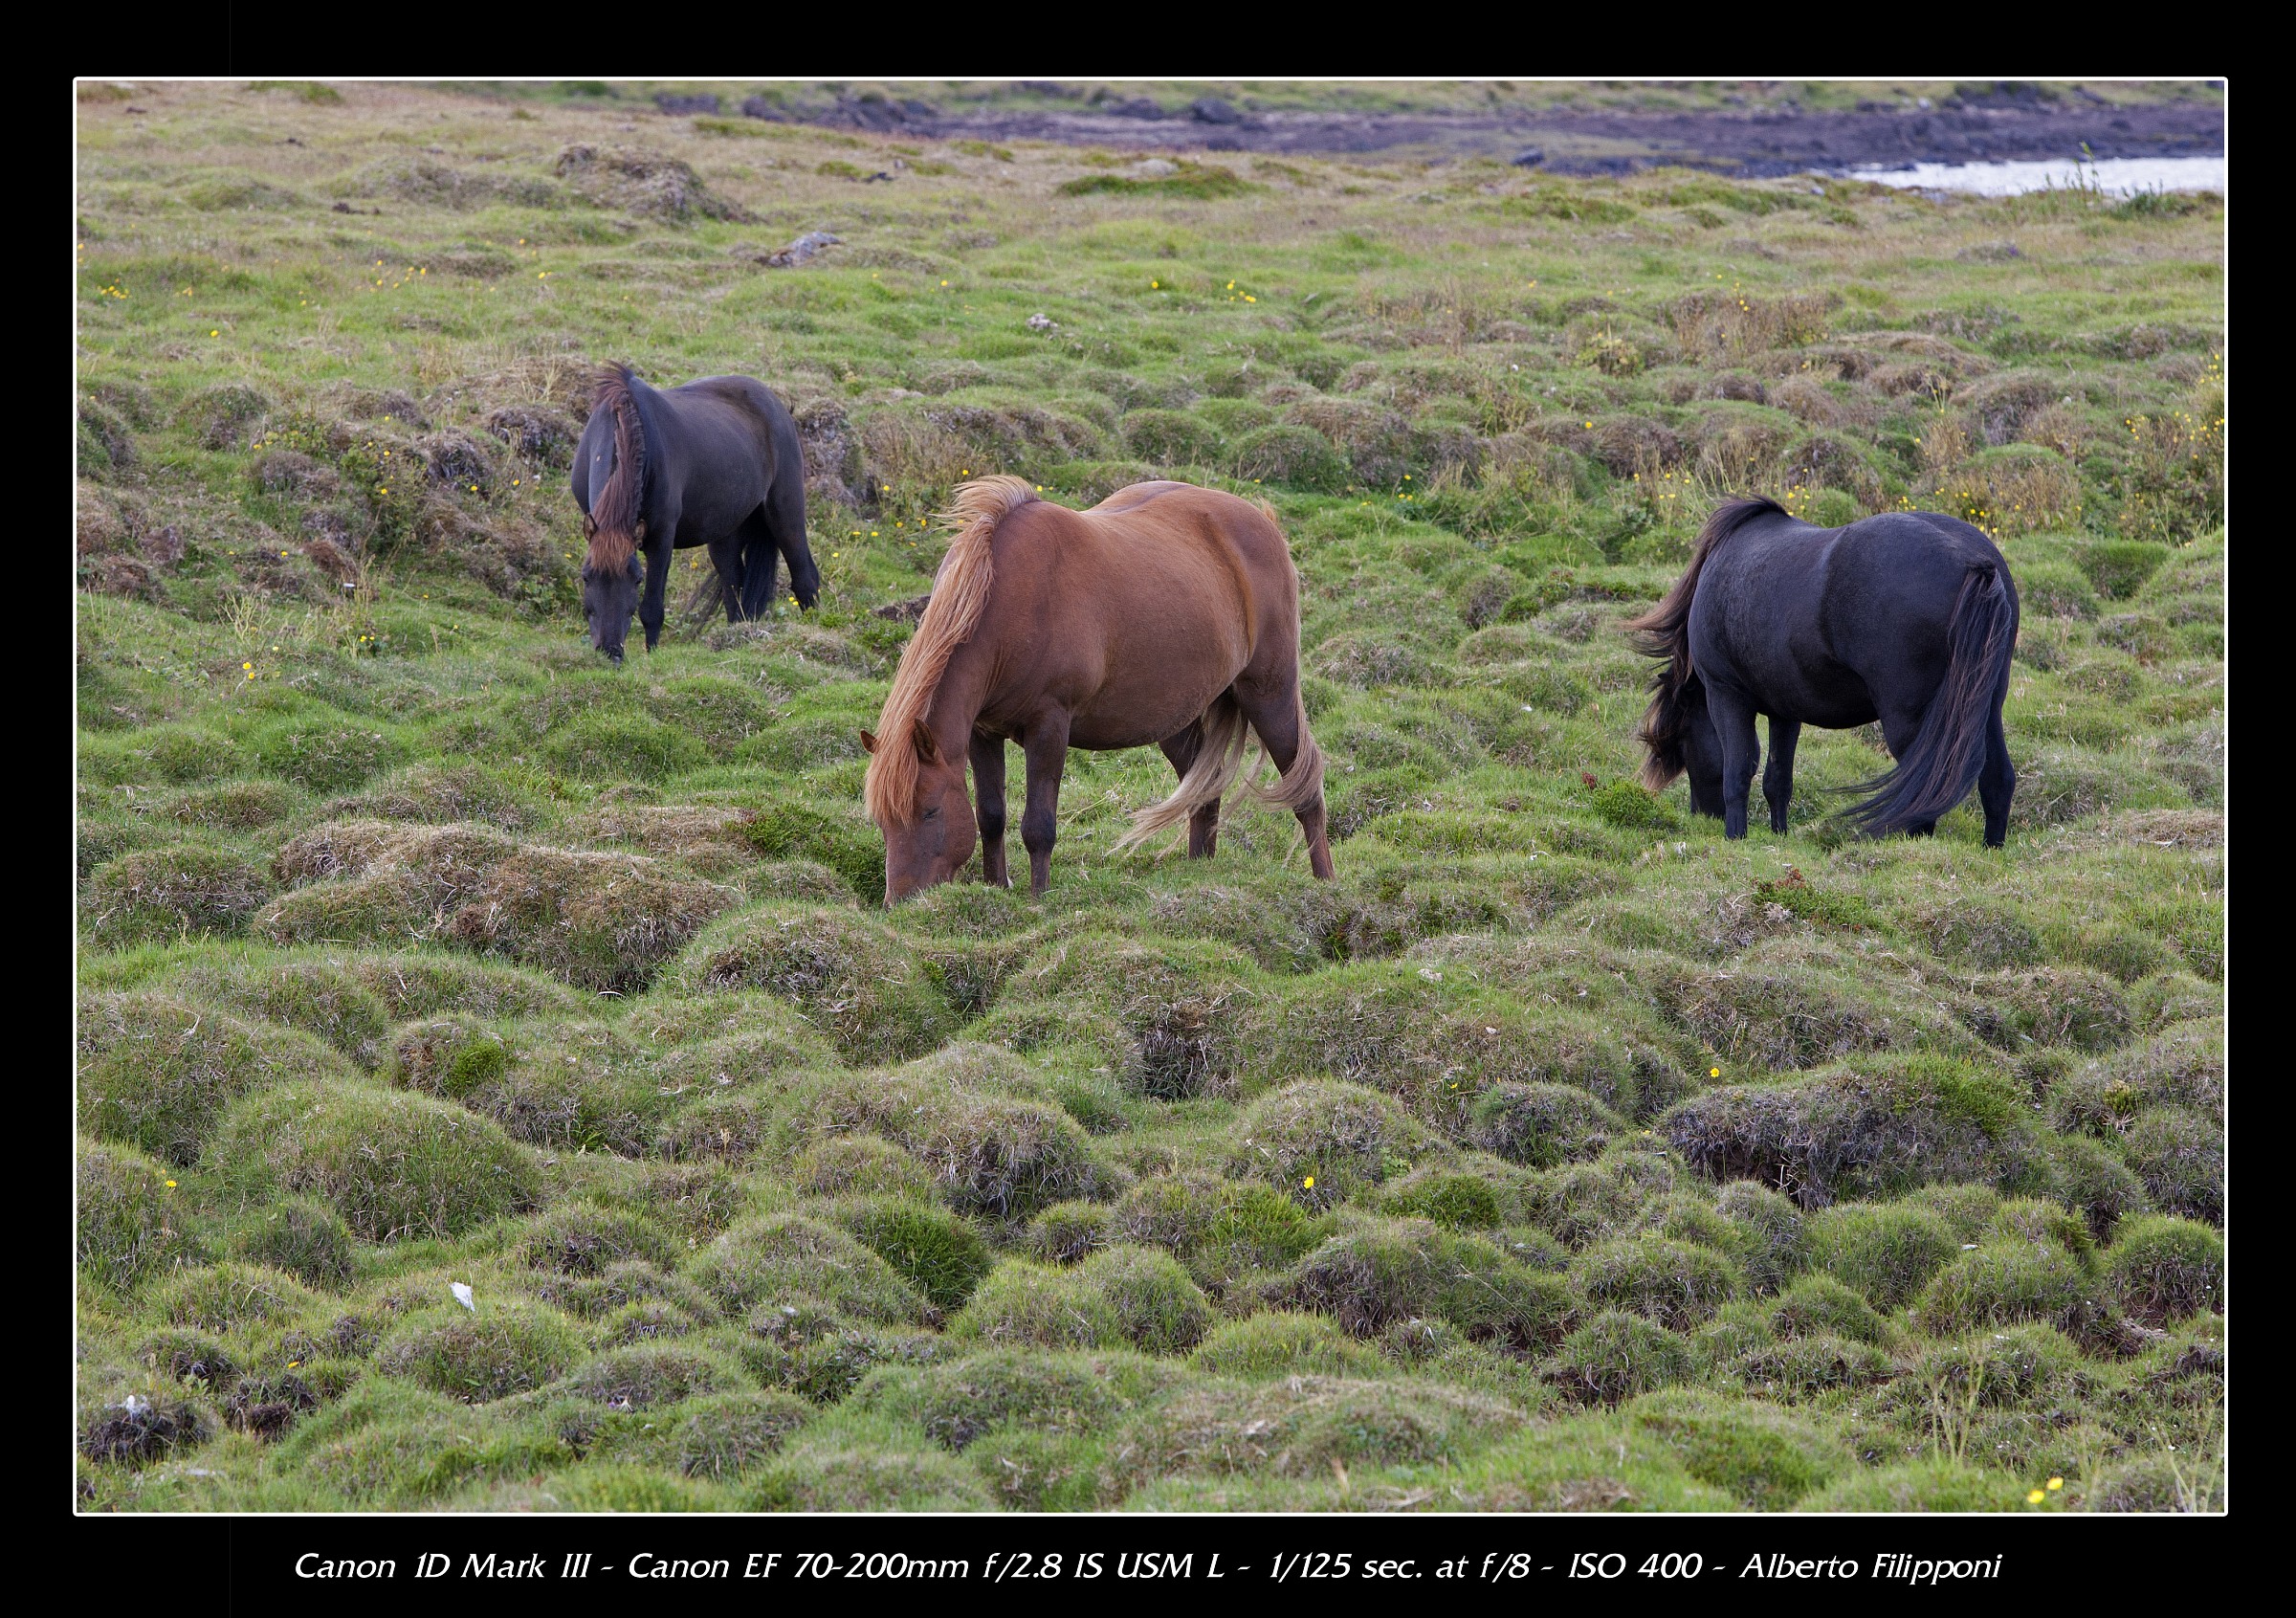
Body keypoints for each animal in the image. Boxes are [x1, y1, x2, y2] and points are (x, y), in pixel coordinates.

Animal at [570, 364, 821, 664]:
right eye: (586, 577)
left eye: (637, 579)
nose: (611, 652)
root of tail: (779, 408)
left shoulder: (661, 539)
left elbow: (651, 609)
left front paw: (652, 655)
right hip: (726, 534)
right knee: (734, 587)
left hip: (785, 513)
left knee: (805, 578)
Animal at [859, 477, 1335, 903]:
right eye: (881, 820)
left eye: (930, 811)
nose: (899, 902)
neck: (1009, 600)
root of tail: (1264, 522)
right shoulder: (982, 732)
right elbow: (991, 816)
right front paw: (997, 888)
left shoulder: (1049, 725)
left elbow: (1038, 826)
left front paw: (1038, 900)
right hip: (1174, 718)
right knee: (1204, 790)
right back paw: (1199, 871)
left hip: (1268, 694)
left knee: (1304, 784)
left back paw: (1325, 881)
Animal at [1627, 495, 2020, 846]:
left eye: (1682, 740)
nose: (1701, 814)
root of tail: (1975, 561)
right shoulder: (1785, 712)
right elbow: (1777, 779)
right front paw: (1779, 835)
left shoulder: (1726, 695)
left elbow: (1738, 771)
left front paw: (1735, 838)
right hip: (1985, 707)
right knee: (1997, 780)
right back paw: (1992, 846)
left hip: (1910, 720)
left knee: (1924, 791)